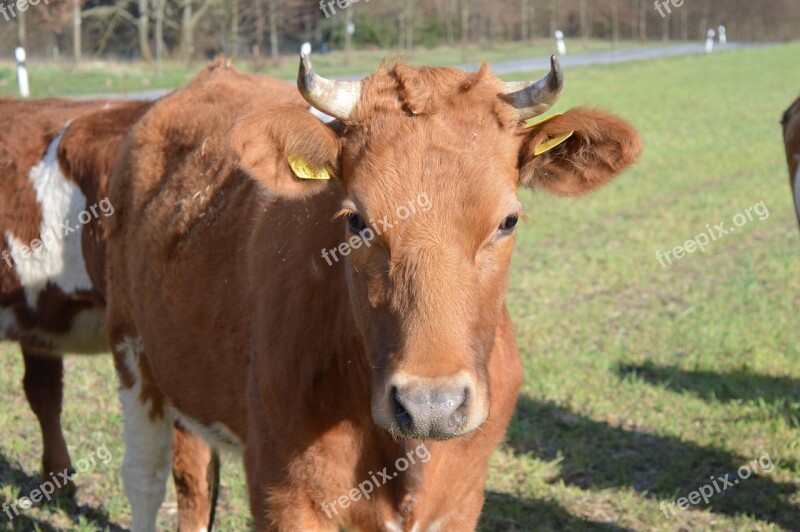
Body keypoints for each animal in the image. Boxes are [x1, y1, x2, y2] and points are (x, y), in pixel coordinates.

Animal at [104, 56, 644, 528]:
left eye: (507, 220)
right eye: (356, 220)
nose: (432, 405)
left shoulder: (462, 500)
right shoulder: (282, 494)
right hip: (131, 352)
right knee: (146, 479)